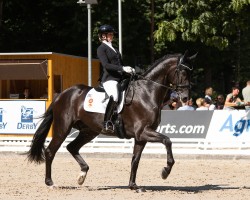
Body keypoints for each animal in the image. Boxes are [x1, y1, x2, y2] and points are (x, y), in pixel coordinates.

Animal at [27, 51, 195, 191]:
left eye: (190, 72)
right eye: (182, 72)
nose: (185, 98)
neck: (147, 92)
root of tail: (61, 95)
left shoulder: (141, 137)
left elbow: (135, 160)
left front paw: (133, 185)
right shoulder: (143, 132)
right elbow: (167, 140)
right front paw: (165, 171)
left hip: (89, 131)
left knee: (72, 147)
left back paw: (82, 175)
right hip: (63, 128)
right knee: (50, 151)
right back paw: (50, 182)